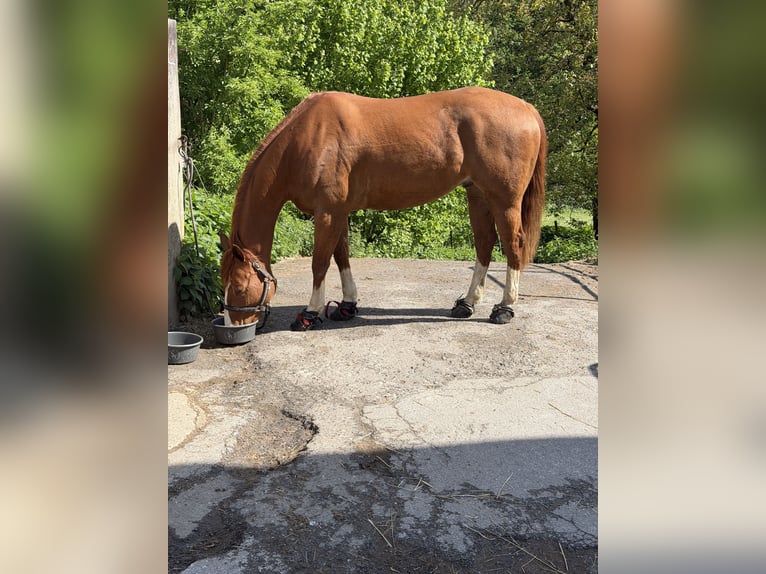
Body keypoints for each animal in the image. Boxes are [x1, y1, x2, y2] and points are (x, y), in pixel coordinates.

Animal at [219, 86, 546, 331]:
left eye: (239, 287)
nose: (234, 325)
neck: (307, 139)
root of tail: (527, 108)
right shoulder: (338, 212)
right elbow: (341, 256)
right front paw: (347, 305)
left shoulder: (327, 213)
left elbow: (320, 262)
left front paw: (310, 314)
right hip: (477, 195)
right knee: (484, 244)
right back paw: (466, 303)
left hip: (505, 201)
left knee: (513, 245)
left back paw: (504, 308)